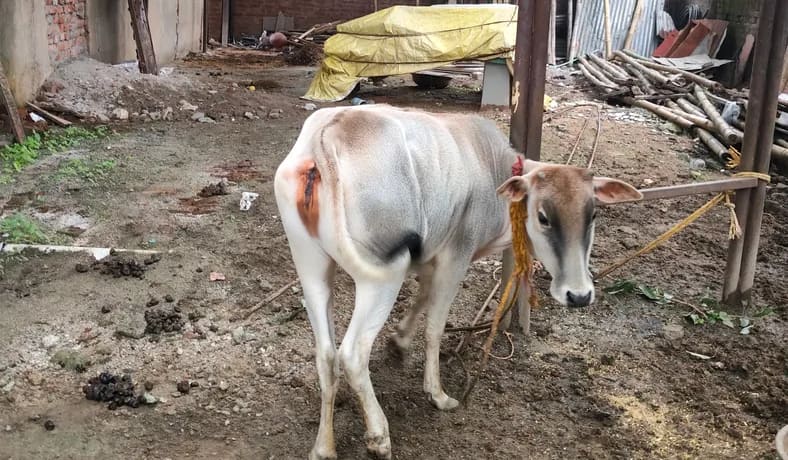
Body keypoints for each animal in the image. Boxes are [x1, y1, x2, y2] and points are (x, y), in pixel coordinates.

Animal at [273, 104, 642, 459]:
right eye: (543, 217)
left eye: (593, 214)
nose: (579, 295)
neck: (494, 168)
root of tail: (331, 130)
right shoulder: (456, 255)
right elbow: (434, 327)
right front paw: (437, 394)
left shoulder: (430, 256)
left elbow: (422, 296)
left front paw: (399, 341)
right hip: (381, 276)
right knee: (352, 353)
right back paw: (379, 435)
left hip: (311, 264)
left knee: (326, 355)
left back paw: (324, 447)